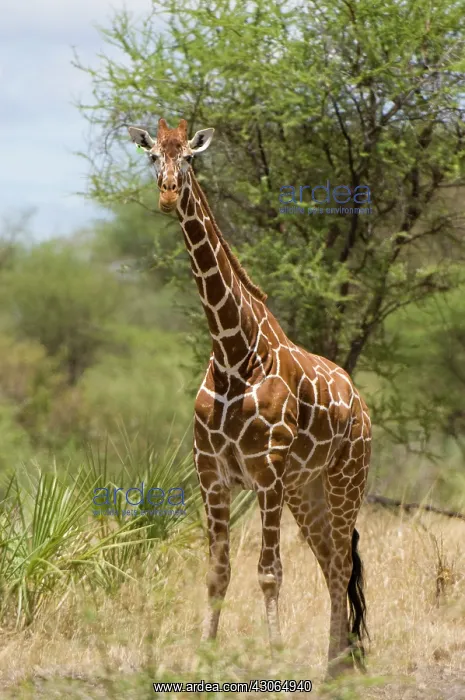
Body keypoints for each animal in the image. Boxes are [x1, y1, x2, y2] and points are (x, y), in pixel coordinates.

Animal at [128, 118, 371, 677]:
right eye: (152, 157)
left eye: (189, 158)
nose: (168, 194)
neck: (233, 351)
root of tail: (362, 405)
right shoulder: (211, 472)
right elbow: (217, 571)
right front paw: (204, 659)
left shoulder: (267, 472)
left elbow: (268, 572)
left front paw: (276, 661)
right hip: (307, 491)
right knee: (330, 562)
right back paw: (333, 661)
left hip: (345, 479)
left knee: (341, 563)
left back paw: (335, 666)